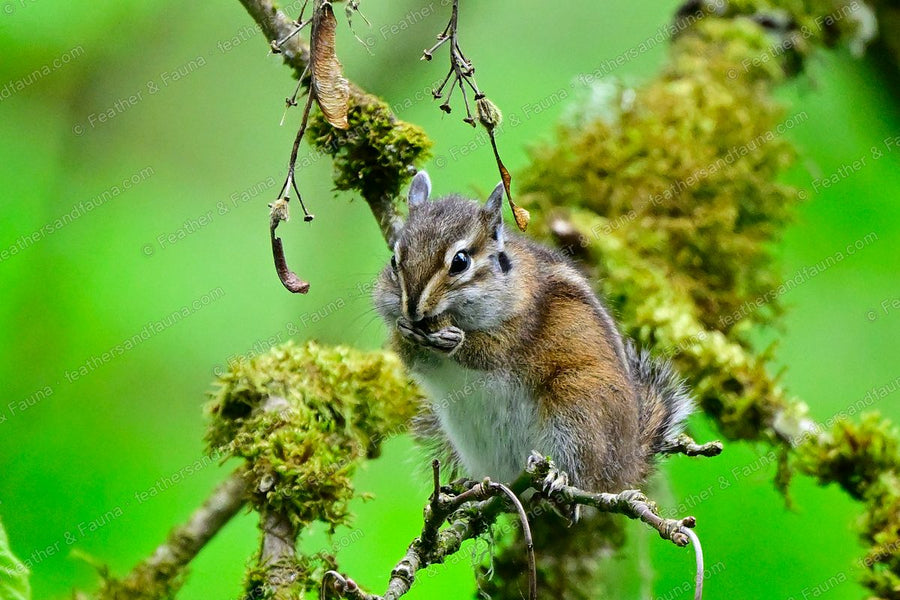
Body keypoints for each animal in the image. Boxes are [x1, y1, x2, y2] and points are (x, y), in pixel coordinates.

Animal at [373, 171, 694, 495]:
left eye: (460, 261)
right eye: (394, 261)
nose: (413, 309)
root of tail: (627, 466)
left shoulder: (521, 326)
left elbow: (492, 352)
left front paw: (455, 340)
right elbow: (414, 359)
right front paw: (404, 333)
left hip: (577, 408)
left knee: (583, 475)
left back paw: (559, 477)